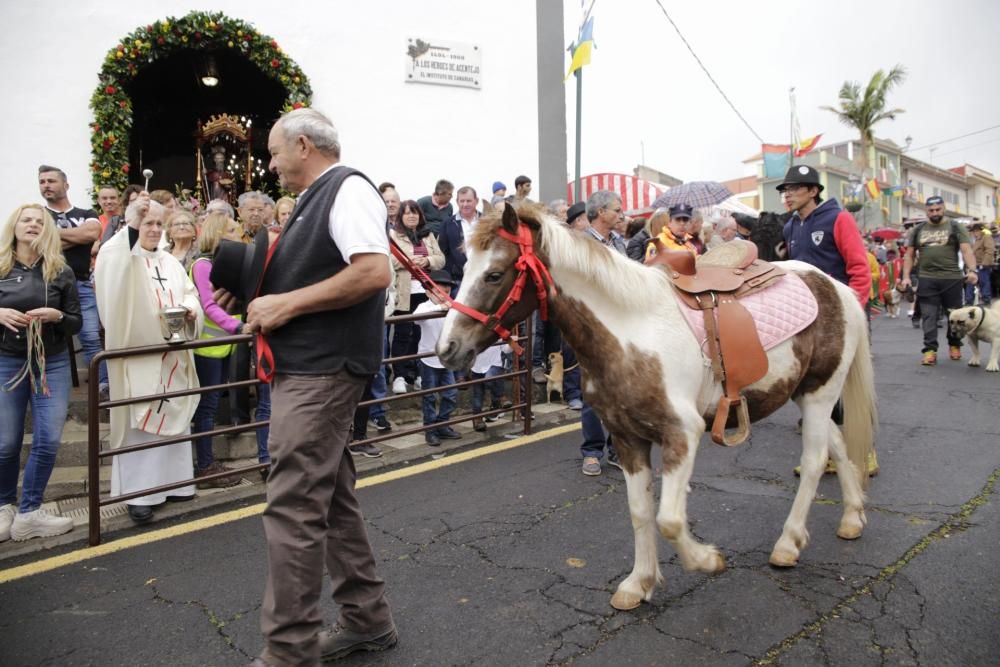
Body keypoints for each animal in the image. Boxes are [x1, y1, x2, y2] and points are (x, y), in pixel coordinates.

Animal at [438, 204, 876, 612]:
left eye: (495, 274)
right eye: (466, 269)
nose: (447, 349)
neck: (631, 330)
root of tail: (836, 287)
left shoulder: (681, 434)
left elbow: (669, 519)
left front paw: (707, 560)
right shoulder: (627, 438)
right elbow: (640, 511)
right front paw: (640, 582)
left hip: (820, 393)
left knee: (816, 460)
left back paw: (788, 543)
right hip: (805, 392)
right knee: (838, 445)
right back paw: (852, 517)